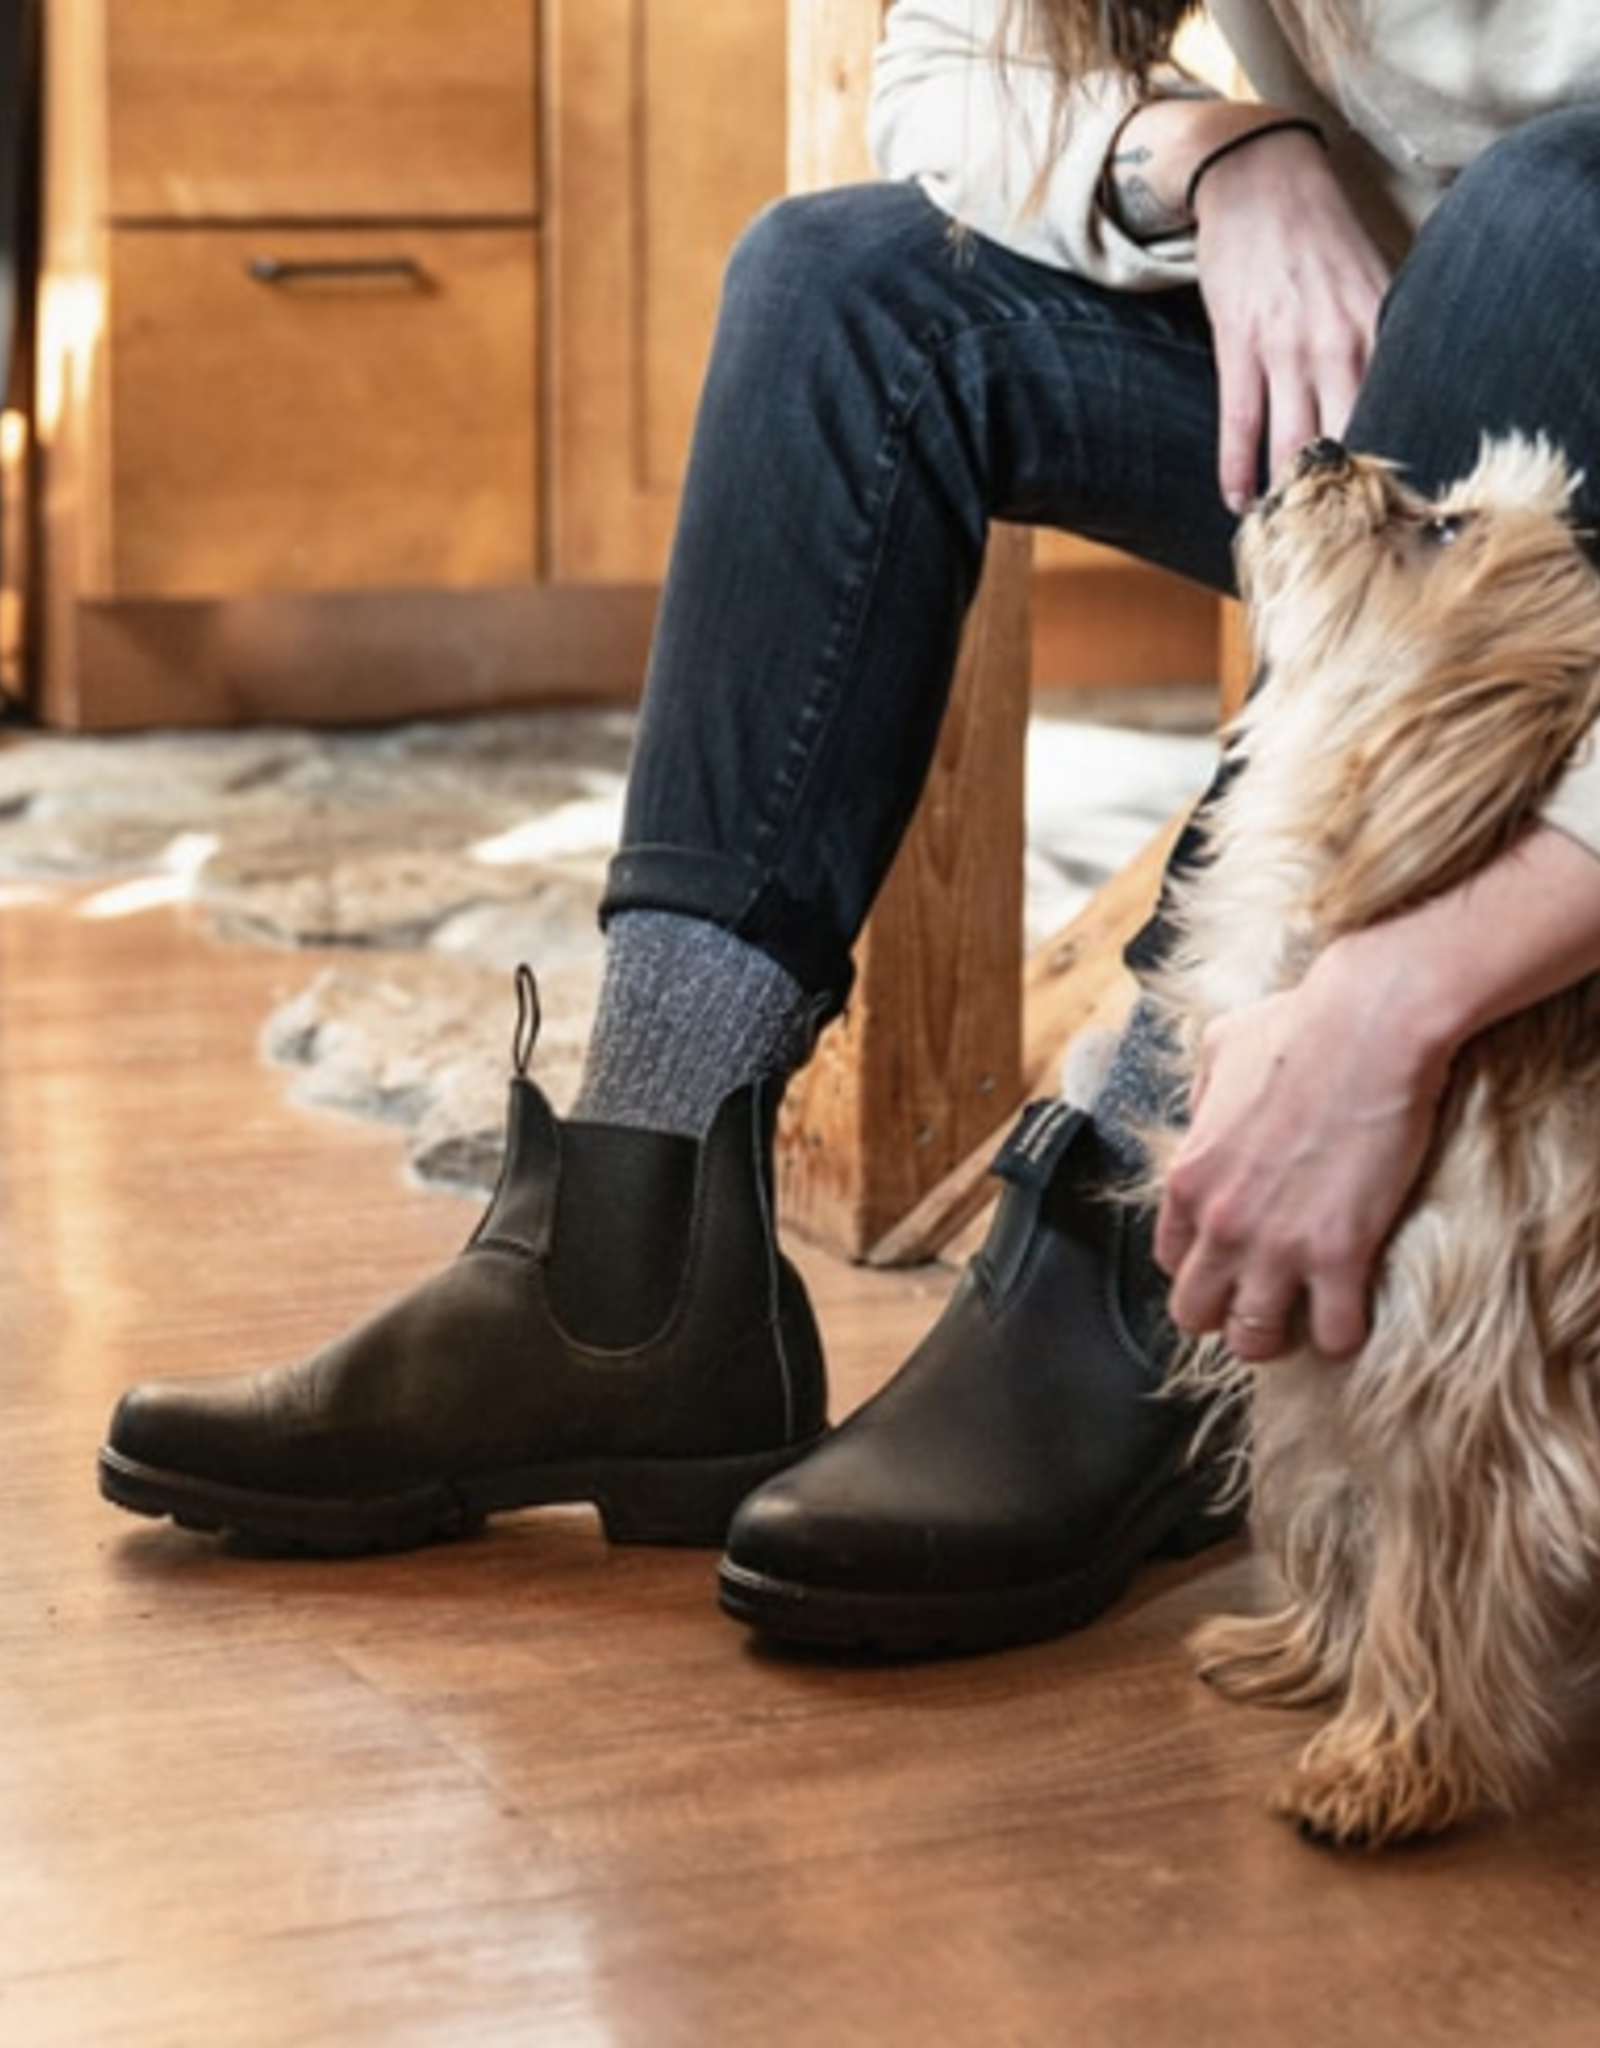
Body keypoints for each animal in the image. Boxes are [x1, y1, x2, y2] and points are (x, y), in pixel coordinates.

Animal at [1147, 436, 1600, 1859]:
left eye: (1441, 526)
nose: (1322, 444)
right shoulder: (1319, 1322)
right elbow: (1341, 1511)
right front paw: (1300, 1652)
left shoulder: (1455, 1361)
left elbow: (1422, 1564)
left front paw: (1386, 1763)